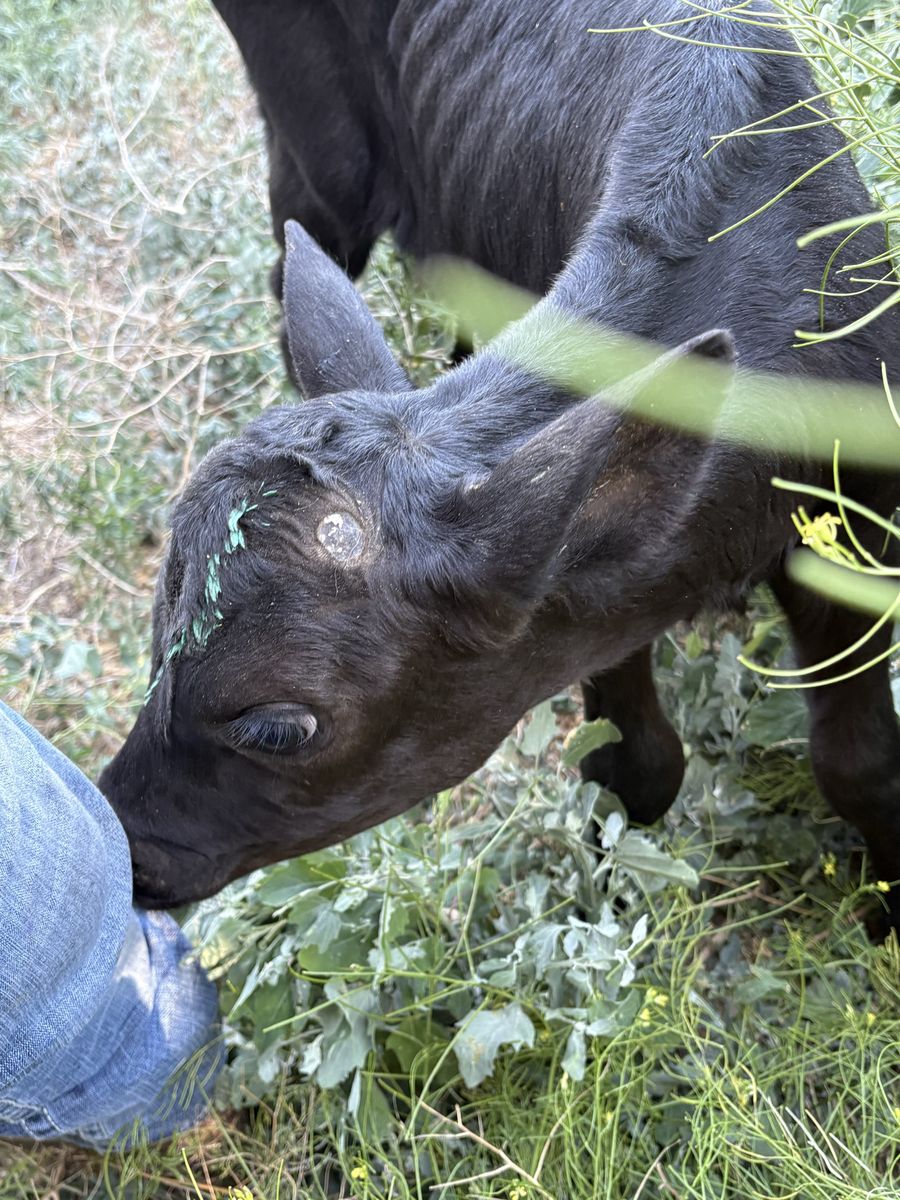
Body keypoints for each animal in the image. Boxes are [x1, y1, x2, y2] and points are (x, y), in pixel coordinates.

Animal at [99, 0, 900, 930]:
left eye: (275, 727)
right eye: (156, 642)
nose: (130, 850)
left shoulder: (857, 520)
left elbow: (859, 762)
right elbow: (636, 766)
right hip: (318, 154)